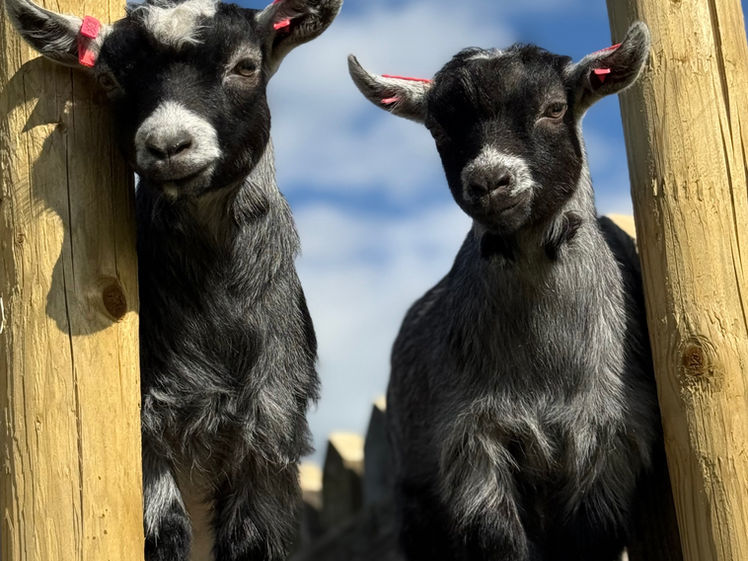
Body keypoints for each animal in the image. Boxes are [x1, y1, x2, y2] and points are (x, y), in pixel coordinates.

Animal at [6, 0, 341, 559]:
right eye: (109, 78)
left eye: (246, 66)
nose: (167, 145)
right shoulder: (148, 426)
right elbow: (163, 533)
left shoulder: (269, 424)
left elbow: (249, 540)